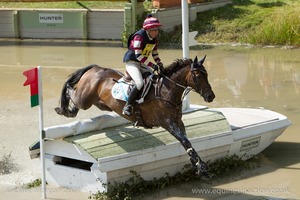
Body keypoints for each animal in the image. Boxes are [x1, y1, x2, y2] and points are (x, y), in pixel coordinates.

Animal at [55, 55, 216, 177]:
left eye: (207, 74)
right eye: (197, 75)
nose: (211, 96)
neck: (166, 91)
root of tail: (95, 68)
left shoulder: (178, 122)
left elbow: (187, 142)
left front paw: (197, 165)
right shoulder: (167, 122)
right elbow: (184, 141)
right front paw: (202, 168)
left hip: (100, 103)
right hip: (85, 99)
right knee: (71, 91)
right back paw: (63, 108)